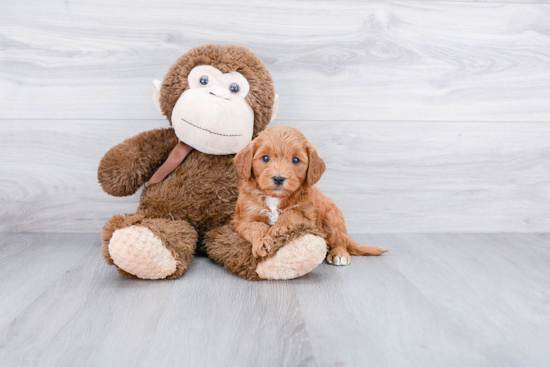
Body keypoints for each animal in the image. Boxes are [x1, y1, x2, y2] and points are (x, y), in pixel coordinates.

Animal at [232, 125, 388, 266]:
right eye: (265, 158)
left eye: (295, 160)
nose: (278, 178)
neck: (275, 198)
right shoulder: (244, 218)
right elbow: (256, 226)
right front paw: (263, 242)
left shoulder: (308, 218)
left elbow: (292, 213)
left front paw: (278, 228)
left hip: (332, 218)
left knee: (340, 241)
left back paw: (339, 254)